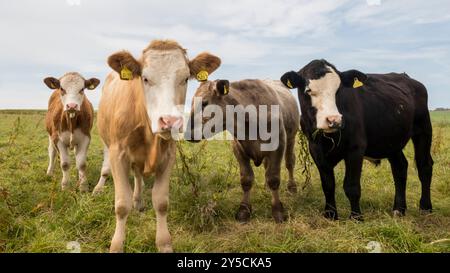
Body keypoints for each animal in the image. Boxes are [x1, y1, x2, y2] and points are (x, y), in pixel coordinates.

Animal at [93, 39, 221, 252]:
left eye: (185, 79)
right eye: (145, 78)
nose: (170, 121)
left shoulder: (168, 155)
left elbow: (161, 202)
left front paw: (164, 243)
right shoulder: (118, 154)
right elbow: (121, 204)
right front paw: (117, 245)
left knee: (137, 175)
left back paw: (138, 201)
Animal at [282, 59, 432, 219]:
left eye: (338, 90)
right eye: (308, 90)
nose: (334, 120)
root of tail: (408, 78)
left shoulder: (355, 148)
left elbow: (351, 186)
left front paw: (356, 217)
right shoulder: (316, 150)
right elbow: (328, 184)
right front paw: (330, 214)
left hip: (423, 129)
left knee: (424, 166)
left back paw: (425, 207)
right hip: (392, 140)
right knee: (400, 168)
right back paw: (399, 209)